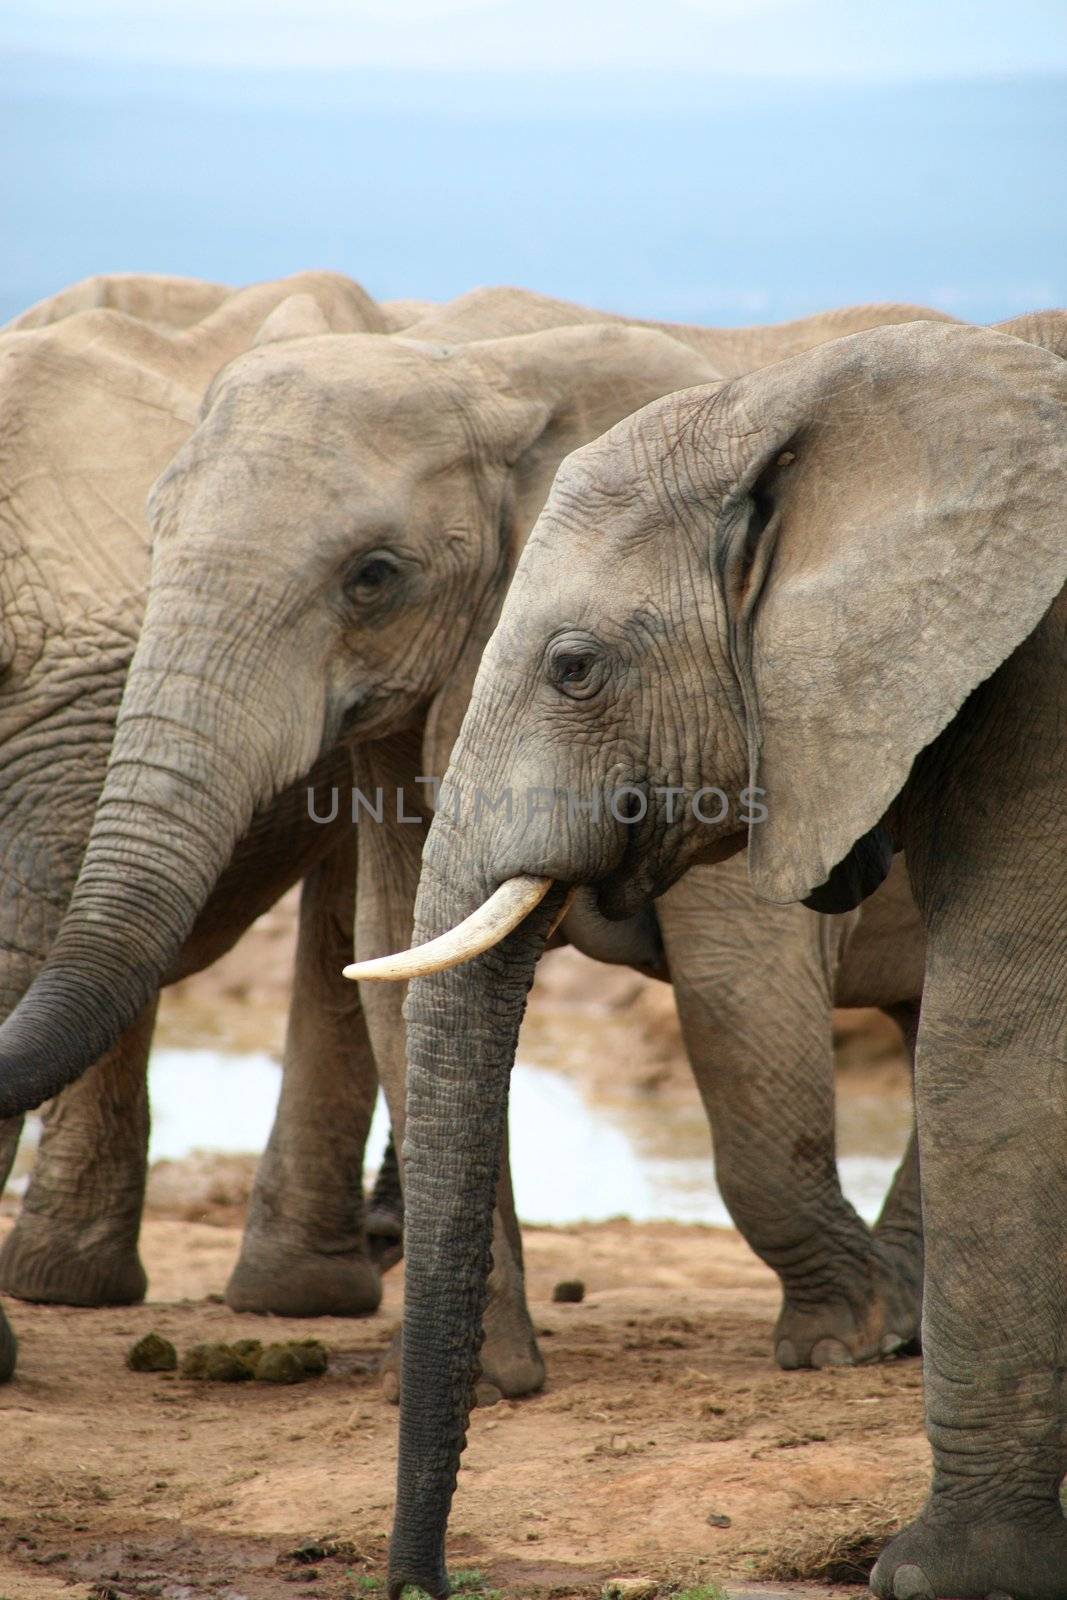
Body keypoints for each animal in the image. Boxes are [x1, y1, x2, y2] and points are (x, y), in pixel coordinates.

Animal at [347, 315, 1062, 1600]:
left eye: (574, 666)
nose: (422, 1583)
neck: (792, 405)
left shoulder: (1029, 690)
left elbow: (988, 1042)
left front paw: (940, 1573)